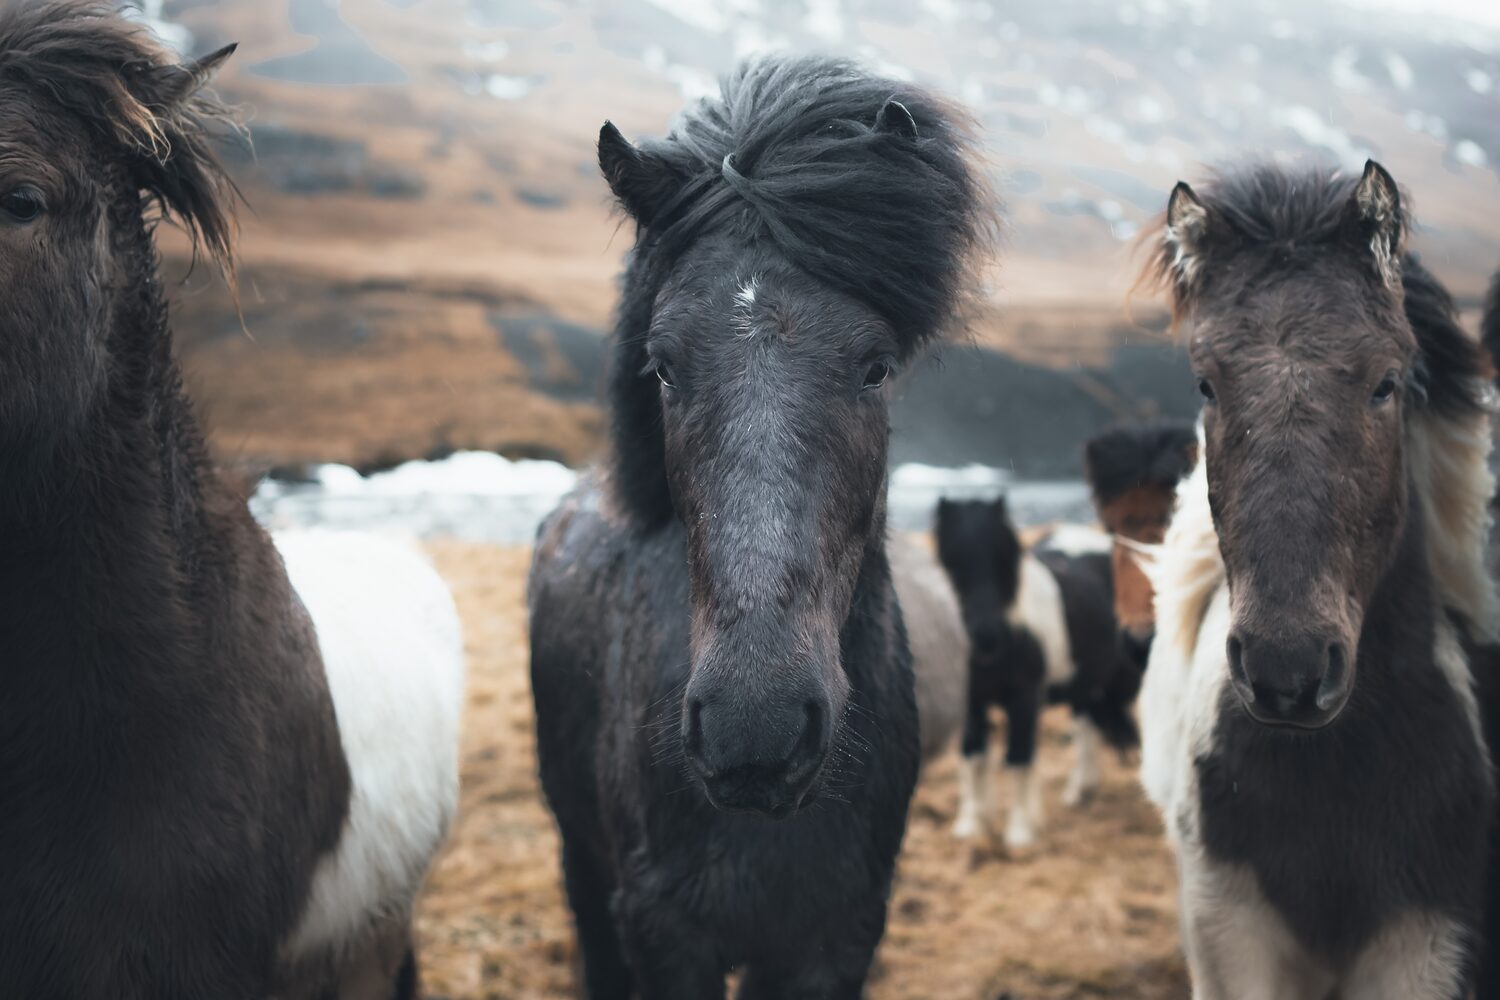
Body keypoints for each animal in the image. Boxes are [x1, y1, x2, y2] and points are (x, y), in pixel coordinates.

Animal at [934, 498, 1140, 852]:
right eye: (951, 561)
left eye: (1003, 560)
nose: (984, 637)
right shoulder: (972, 702)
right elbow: (973, 756)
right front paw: (971, 825)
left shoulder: (1024, 699)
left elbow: (1019, 757)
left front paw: (1020, 833)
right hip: (1083, 682)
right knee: (1086, 724)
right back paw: (1080, 792)